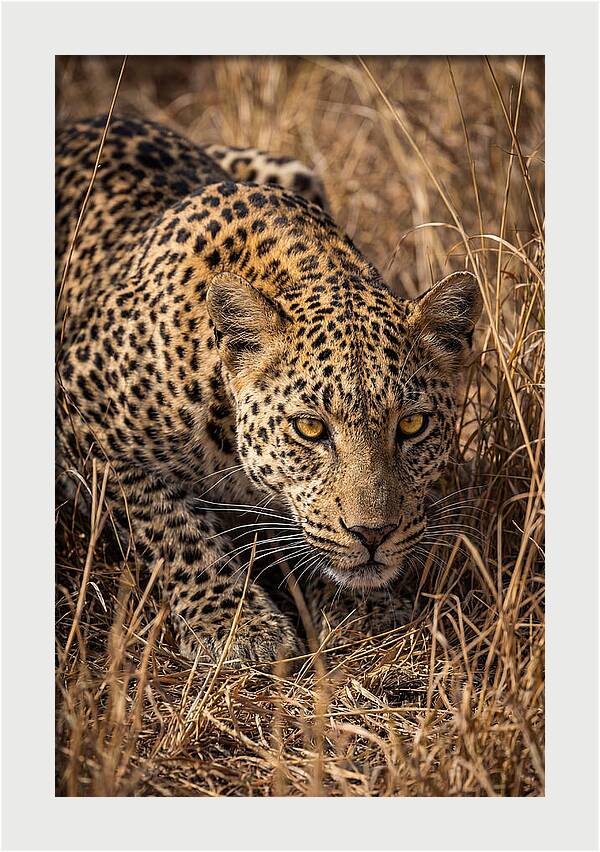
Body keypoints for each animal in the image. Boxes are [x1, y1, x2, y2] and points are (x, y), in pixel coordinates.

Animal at [56, 115, 482, 665]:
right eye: (310, 429)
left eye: (412, 424)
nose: (373, 534)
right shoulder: (79, 411)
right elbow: (170, 525)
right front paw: (236, 624)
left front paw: (364, 610)